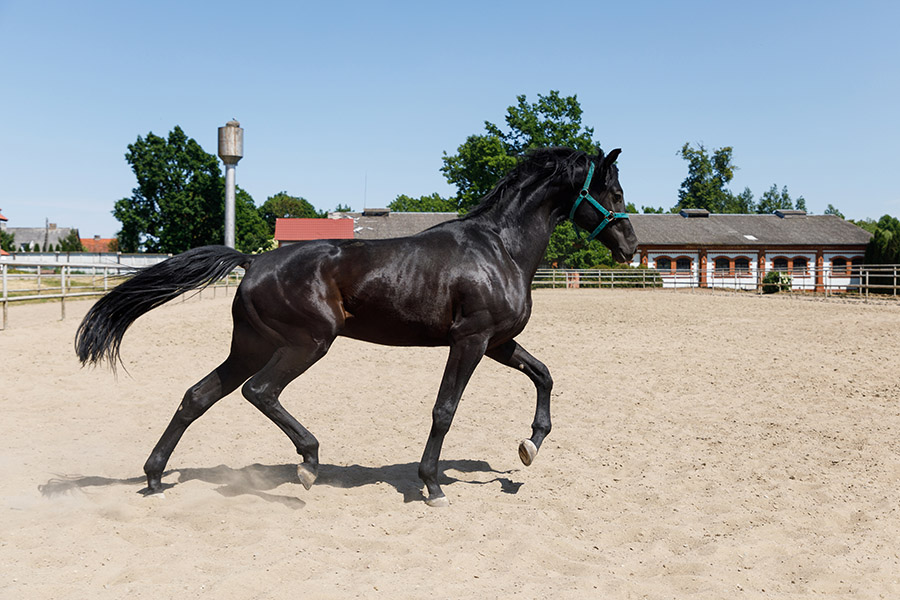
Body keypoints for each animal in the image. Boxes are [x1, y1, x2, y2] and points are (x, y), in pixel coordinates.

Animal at [76, 146, 638, 506]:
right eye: (612, 190)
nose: (631, 246)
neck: (499, 249)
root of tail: (253, 262)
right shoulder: (470, 340)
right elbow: (445, 410)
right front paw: (432, 485)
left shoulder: (499, 342)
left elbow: (543, 374)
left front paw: (530, 446)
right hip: (308, 343)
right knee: (259, 392)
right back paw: (308, 462)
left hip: (251, 346)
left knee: (198, 395)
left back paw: (155, 477)